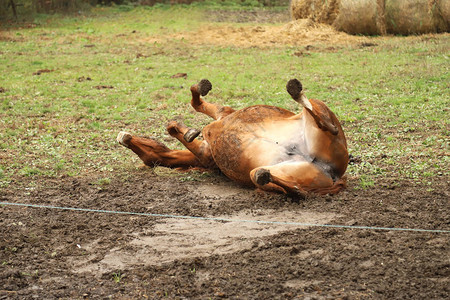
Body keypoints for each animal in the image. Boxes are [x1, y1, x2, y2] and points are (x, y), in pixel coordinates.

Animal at [116, 78, 348, 196]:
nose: (124, 138)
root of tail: (333, 173)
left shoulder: (219, 120)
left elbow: (192, 106)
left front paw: (188, 127)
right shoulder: (208, 147)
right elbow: (190, 112)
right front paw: (188, 129)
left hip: (319, 112)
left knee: (326, 122)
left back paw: (295, 90)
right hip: (280, 171)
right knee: (290, 188)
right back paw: (270, 178)